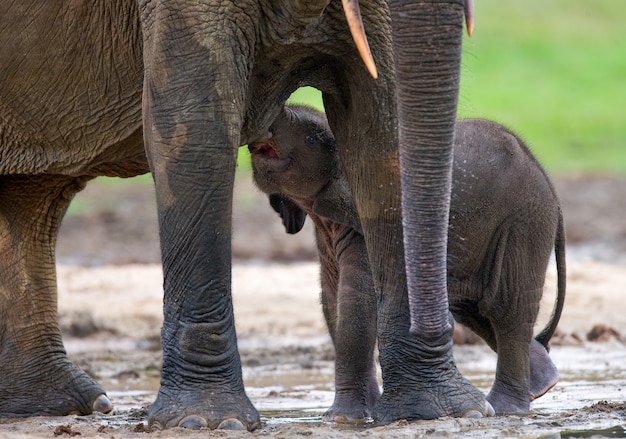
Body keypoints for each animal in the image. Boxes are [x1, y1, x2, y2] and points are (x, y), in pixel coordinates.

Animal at [0, 0, 488, 434]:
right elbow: (196, 129)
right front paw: (205, 422)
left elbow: (381, 122)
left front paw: (445, 413)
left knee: (31, 200)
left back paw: (60, 405)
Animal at [249, 105, 564, 422]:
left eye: (311, 139)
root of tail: (544, 175)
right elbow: (331, 300)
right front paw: (362, 414)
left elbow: (356, 302)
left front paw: (342, 419)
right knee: (473, 309)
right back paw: (540, 385)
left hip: (524, 220)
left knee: (505, 308)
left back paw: (505, 408)